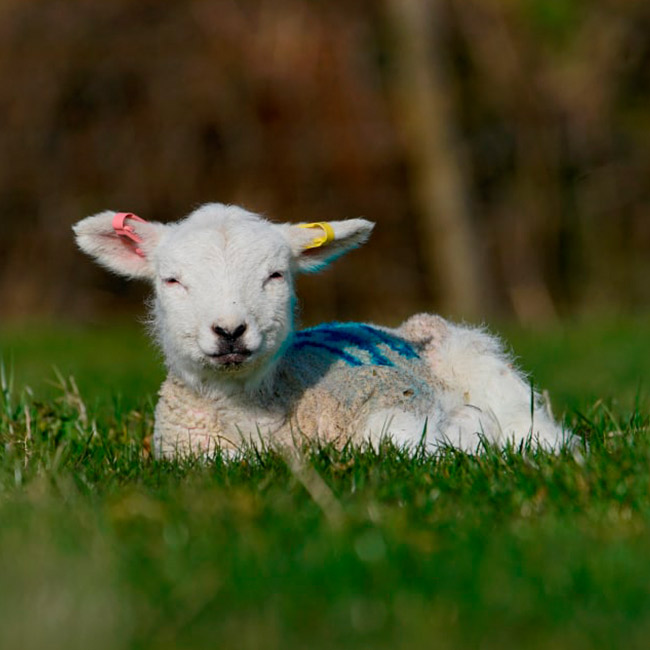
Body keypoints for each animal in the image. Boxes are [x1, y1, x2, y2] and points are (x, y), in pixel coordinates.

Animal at [74, 203, 570, 458]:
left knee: (539, 430)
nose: (230, 330)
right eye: (172, 281)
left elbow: (399, 437)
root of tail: (397, 325)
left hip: (479, 362)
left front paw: (465, 429)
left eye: (276, 275)